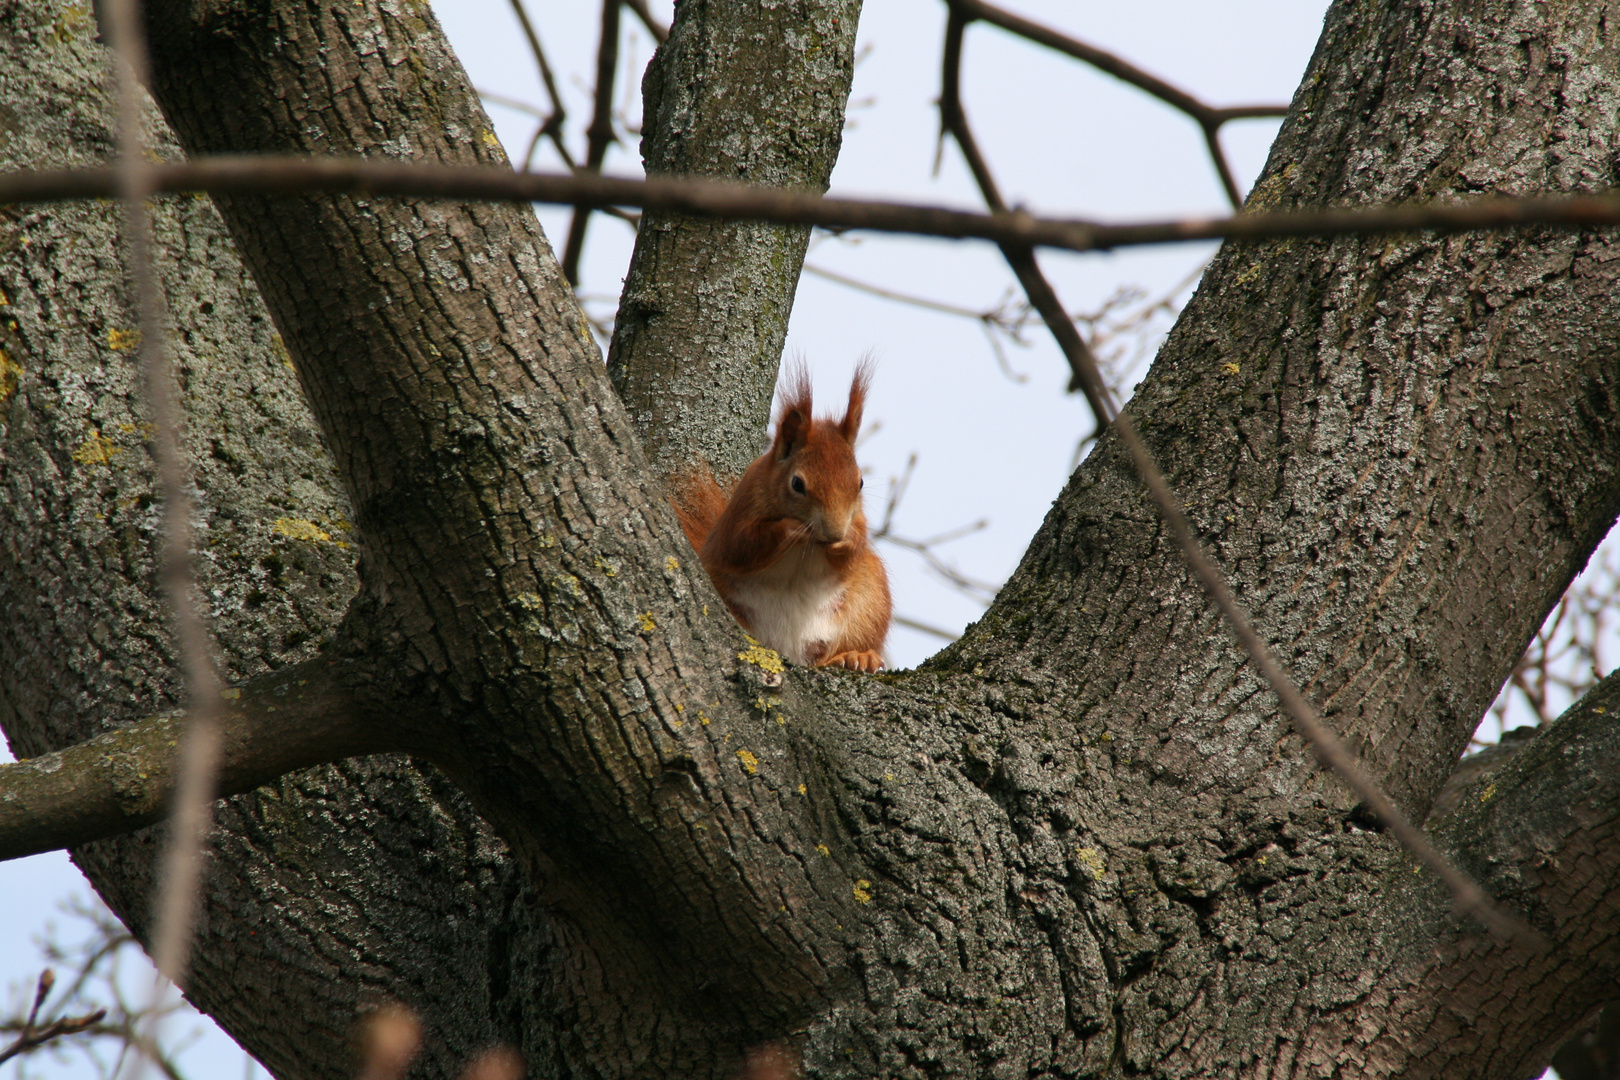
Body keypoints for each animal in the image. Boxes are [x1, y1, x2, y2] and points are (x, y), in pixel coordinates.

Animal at [673, 362, 894, 670]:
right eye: (797, 484)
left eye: (860, 482)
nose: (834, 532)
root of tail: (789, 647)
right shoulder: (742, 509)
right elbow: (740, 546)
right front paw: (791, 528)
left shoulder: (857, 516)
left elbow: (858, 541)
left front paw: (846, 541)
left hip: (869, 600)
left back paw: (854, 656)